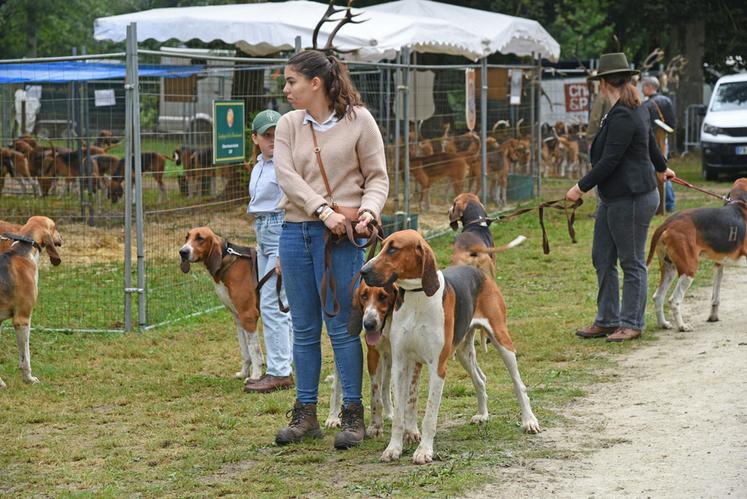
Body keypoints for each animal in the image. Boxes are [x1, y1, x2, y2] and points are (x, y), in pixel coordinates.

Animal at [0, 217, 62, 388]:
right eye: (54, 227)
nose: (61, 237)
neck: (23, 251)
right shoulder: (22, 319)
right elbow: (25, 358)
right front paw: (28, 379)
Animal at [180, 228, 264, 382]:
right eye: (186, 237)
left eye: (200, 238)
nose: (182, 252)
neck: (226, 260)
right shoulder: (239, 319)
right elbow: (245, 352)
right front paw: (244, 372)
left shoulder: (248, 316)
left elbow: (254, 350)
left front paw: (255, 376)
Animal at [360, 230, 540, 464]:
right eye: (382, 246)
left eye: (393, 249)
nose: (363, 271)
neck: (417, 296)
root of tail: (477, 270)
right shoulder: (400, 364)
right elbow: (399, 413)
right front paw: (393, 448)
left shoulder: (437, 366)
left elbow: (429, 414)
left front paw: (424, 451)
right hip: (462, 351)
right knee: (481, 379)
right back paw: (483, 415)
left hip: (502, 342)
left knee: (519, 384)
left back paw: (529, 421)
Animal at [648, 178, 747, 334]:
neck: (739, 203)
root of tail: (667, 223)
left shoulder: (719, 264)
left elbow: (715, 297)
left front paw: (713, 317)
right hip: (689, 269)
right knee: (674, 300)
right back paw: (682, 326)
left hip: (669, 268)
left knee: (658, 296)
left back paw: (663, 324)